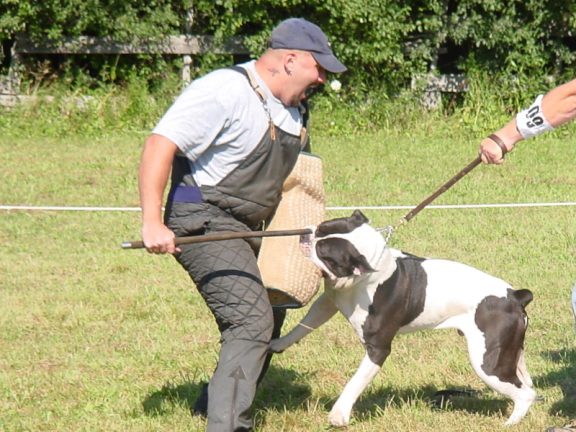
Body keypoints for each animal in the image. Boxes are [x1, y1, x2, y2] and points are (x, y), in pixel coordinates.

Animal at [268, 211, 536, 426]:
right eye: (322, 227)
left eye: (324, 253)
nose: (307, 236)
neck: (370, 274)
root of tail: (515, 296)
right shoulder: (329, 301)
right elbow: (305, 325)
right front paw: (277, 343)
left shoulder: (377, 349)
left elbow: (355, 381)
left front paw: (339, 415)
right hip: (511, 354)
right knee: (527, 383)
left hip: (487, 364)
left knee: (525, 394)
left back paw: (509, 424)